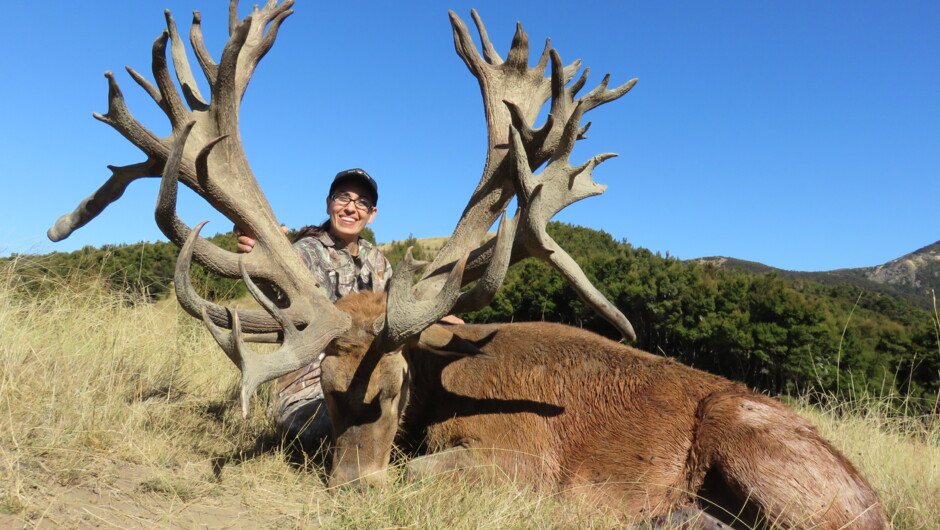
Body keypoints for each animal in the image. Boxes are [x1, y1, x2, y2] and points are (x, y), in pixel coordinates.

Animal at [50, 2, 888, 528]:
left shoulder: (523, 458)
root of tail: (874, 498)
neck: (441, 383)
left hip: (759, 447)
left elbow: (423, 474)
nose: (352, 488)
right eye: (328, 393)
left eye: (394, 392)